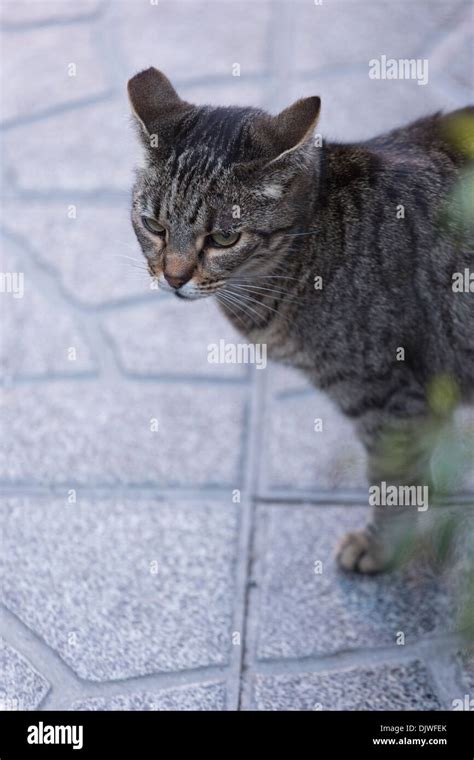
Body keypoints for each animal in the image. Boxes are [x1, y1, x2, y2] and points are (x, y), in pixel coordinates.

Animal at [128, 68, 472, 572]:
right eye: (154, 227)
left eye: (224, 238)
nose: (174, 277)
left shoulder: (388, 396)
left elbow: (394, 481)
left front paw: (381, 547)